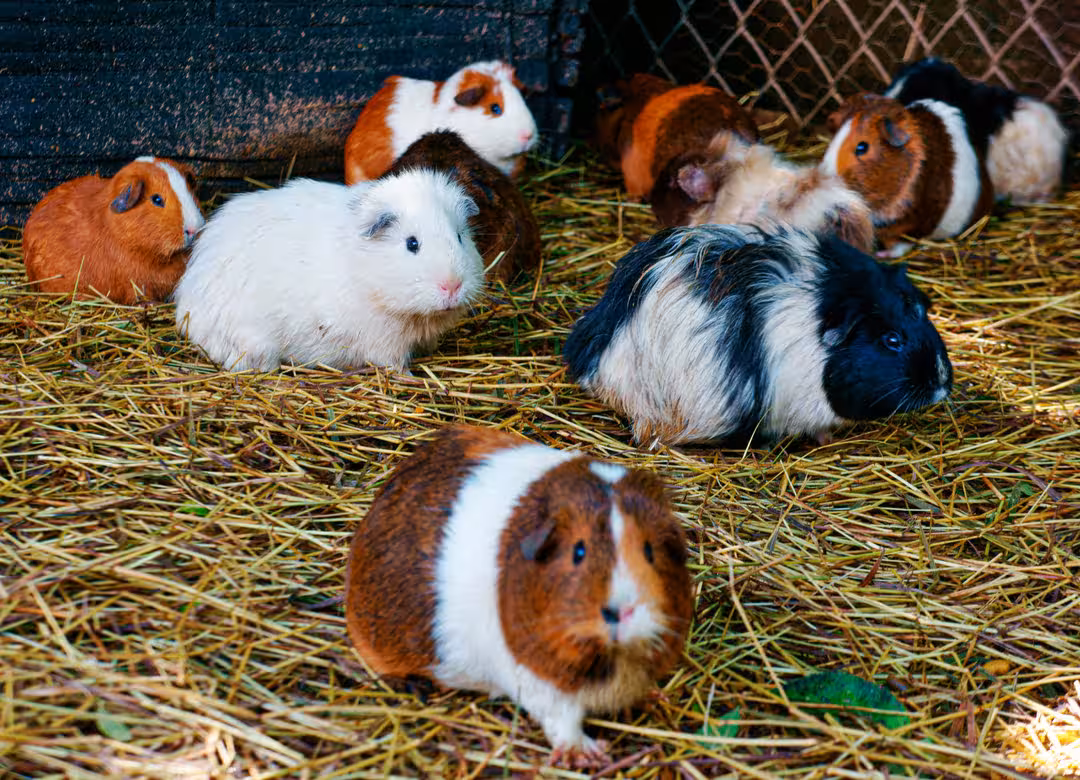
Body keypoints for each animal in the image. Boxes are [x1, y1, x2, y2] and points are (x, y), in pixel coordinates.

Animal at [173, 169, 484, 372]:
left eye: (460, 237)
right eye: (412, 243)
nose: (452, 286)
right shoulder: (384, 343)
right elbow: (394, 365)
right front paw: (409, 376)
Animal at [344, 424, 694, 768]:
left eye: (649, 551)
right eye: (578, 551)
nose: (621, 611)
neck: (611, 659)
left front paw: (656, 698)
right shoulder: (537, 684)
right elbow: (562, 720)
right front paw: (587, 755)